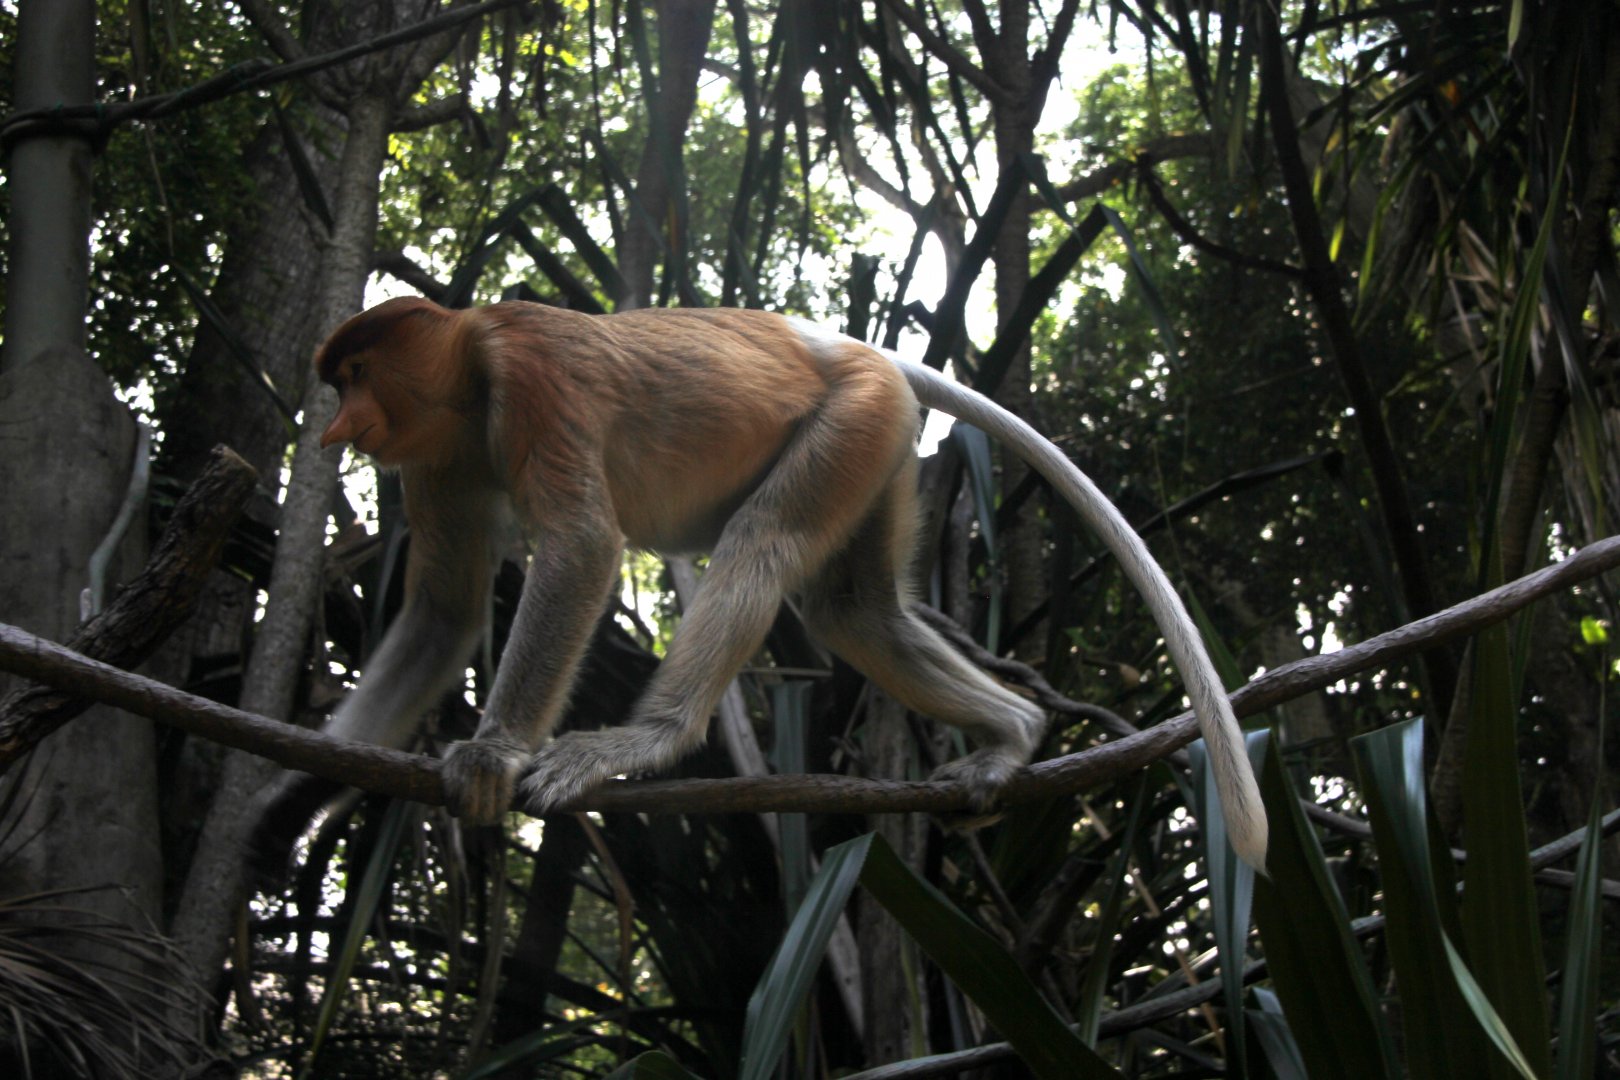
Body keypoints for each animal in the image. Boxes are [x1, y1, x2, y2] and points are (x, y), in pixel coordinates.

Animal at [272, 296, 1267, 872]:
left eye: (354, 375)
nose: (337, 432)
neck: (469, 368)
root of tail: (847, 346)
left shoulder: (533, 377)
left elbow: (582, 548)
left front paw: (492, 755)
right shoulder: (433, 458)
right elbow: (443, 612)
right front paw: (277, 811)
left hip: (850, 420)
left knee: (763, 543)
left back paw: (646, 742)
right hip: (882, 444)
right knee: (852, 609)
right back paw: (1012, 736)